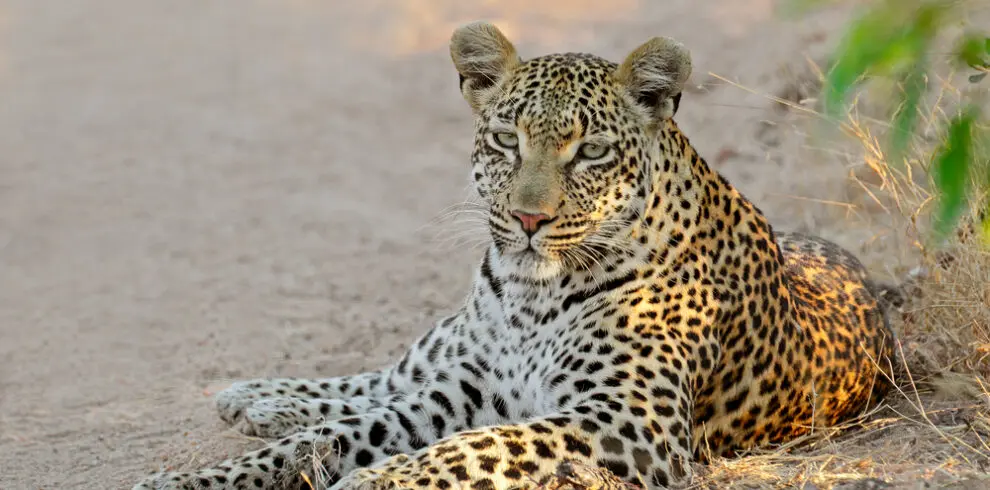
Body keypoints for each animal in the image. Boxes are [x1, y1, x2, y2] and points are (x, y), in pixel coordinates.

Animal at [133, 21, 896, 490]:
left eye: (590, 152)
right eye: (506, 140)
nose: (529, 219)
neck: (534, 299)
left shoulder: (624, 421)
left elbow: (475, 446)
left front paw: (374, 479)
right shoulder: (460, 390)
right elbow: (330, 434)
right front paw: (184, 480)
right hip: (447, 351)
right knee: (376, 378)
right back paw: (256, 395)